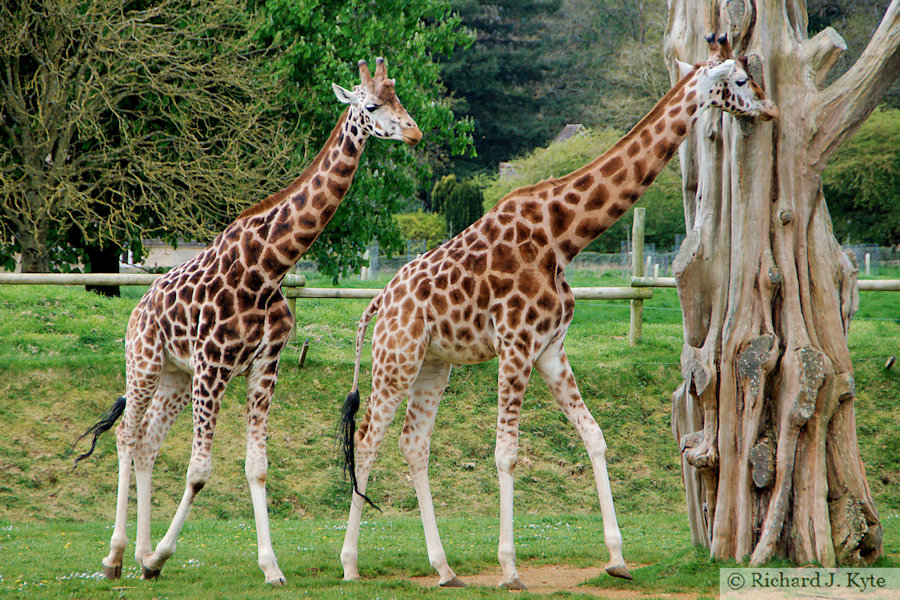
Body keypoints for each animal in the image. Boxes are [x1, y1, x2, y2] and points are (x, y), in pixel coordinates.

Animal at [73, 57, 418, 584]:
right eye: (374, 105)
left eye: (400, 100)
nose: (415, 132)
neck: (268, 265)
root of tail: (139, 306)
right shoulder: (214, 365)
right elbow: (199, 471)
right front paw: (161, 556)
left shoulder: (263, 365)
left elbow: (257, 465)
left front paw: (270, 566)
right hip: (145, 362)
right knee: (128, 435)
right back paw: (116, 557)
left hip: (177, 376)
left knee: (149, 440)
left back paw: (139, 554)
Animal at [338, 35, 772, 588]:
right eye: (739, 79)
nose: (769, 108)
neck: (561, 236)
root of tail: (380, 300)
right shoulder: (516, 347)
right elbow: (506, 454)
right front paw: (509, 567)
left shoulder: (551, 350)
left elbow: (595, 436)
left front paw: (617, 558)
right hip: (396, 359)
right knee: (368, 437)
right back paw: (350, 563)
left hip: (433, 364)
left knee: (413, 444)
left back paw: (444, 568)